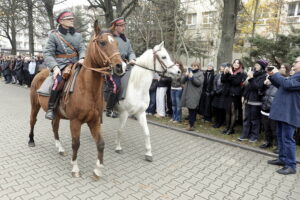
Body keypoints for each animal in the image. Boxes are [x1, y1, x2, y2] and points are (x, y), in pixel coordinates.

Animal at [28, 21, 126, 179]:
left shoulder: (94, 121)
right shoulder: (75, 121)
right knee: (32, 121)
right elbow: (76, 143)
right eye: (102, 42)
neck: (87, 89)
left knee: (54, 127)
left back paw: (60, 148)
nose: (120, 66)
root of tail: (40, 72)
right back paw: (31, 140)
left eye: (116, 43)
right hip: (34, 106)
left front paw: (98, 169)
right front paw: (75, 168)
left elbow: (101, 143)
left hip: (56, 114)